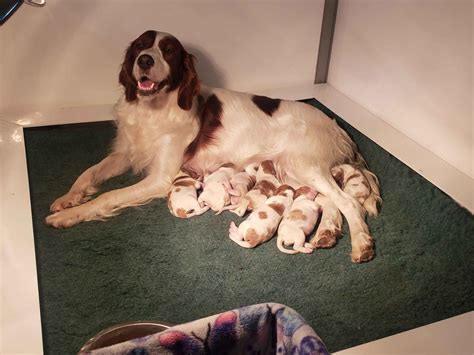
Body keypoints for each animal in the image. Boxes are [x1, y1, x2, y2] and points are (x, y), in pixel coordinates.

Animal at [47, 30, 382, 262]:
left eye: (169, 51)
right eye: (141, 45)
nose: (145, 60)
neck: (152, 109)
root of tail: (337, 126)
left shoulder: (161, 178)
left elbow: (109, 196)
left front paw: (69, 216)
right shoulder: (126, 153)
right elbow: (89, 173)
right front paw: (67, 199)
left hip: (301, 165)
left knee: (348, 203)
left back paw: (361, 245)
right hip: (295, 173)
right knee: (331, 203)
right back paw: (327, 234)